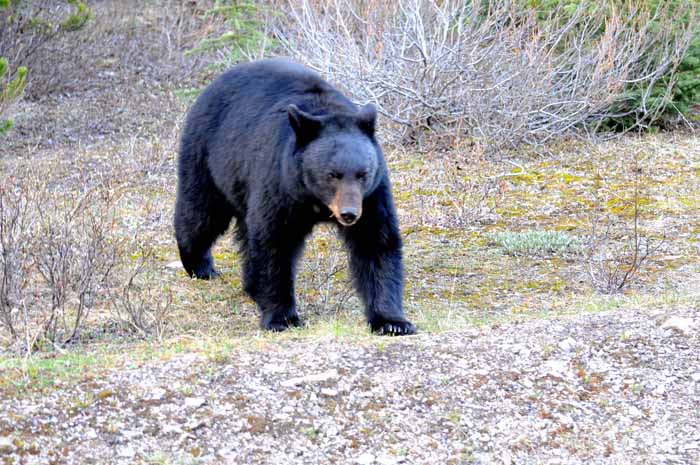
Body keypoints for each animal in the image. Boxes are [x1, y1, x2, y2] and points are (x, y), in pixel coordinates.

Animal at [175, 59, 416, 334]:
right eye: (332, 174)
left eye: (363, 174)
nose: (349, 214)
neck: (315, 201)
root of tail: (213, 84)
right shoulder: (280, 183)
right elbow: (274, 242)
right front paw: (283, 318)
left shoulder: (372, 195)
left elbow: (376, 241)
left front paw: (392, 321)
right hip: (208, 155)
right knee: (201, 214)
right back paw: (200, 265)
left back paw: (251, 286)